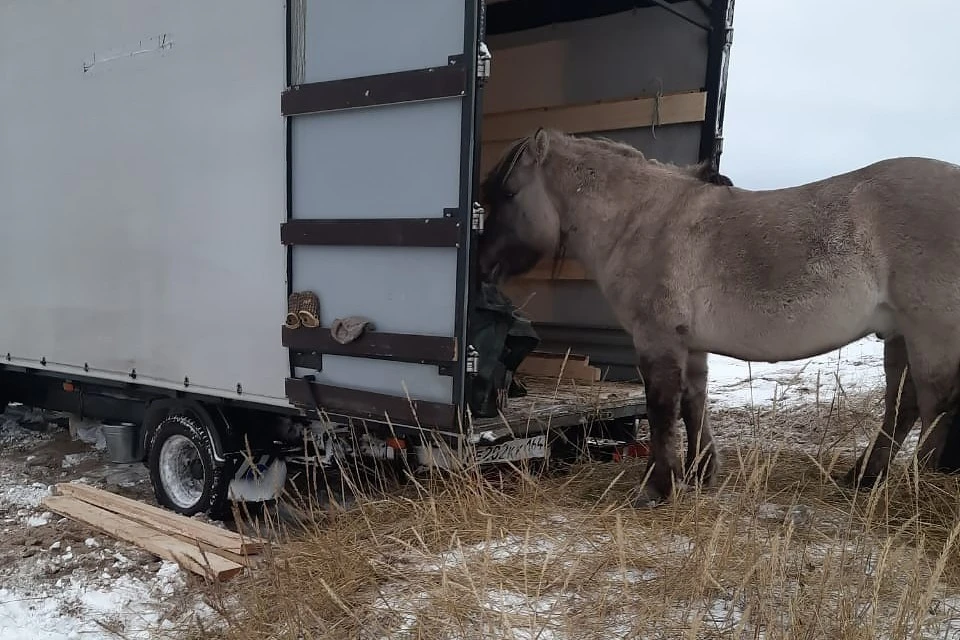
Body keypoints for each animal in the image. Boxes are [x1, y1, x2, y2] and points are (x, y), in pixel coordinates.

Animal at [480, 127, 960, 508]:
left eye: (508, 194)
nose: (484, 267)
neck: (643, 221)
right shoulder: (690, 344)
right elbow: (693, 404)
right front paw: (697, 473)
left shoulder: (657, 339)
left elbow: (662, 409)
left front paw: (657, 487)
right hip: (898, 334)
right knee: (903, 406)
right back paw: (865, 477)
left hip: (929, 335)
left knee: (935, 406)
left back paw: (920, 493)